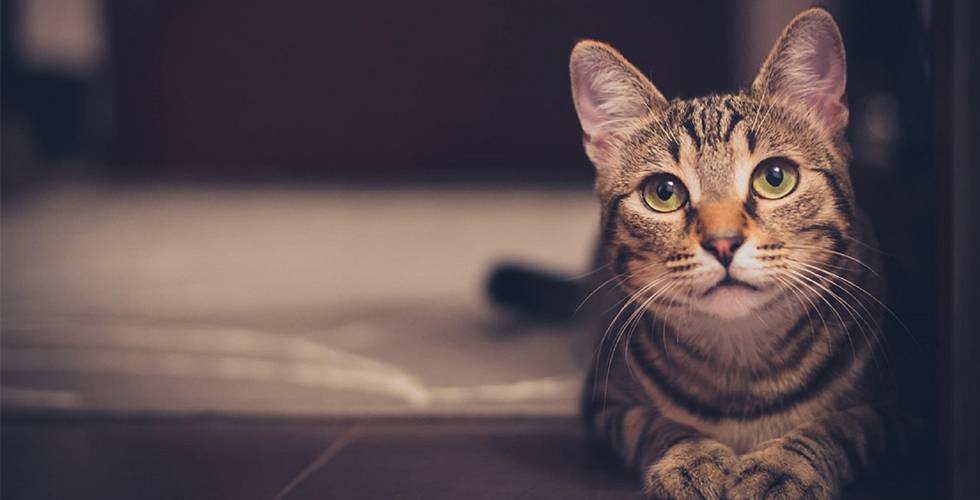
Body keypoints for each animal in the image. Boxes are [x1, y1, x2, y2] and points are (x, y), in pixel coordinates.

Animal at [506, 7, 904, 500]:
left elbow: (837, 428)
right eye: (663, 193)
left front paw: (783, 467)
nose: (723, 242)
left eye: (775, 177)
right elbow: (657, 425)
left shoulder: (891, 412)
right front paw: (694, 459)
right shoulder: (607, 403)